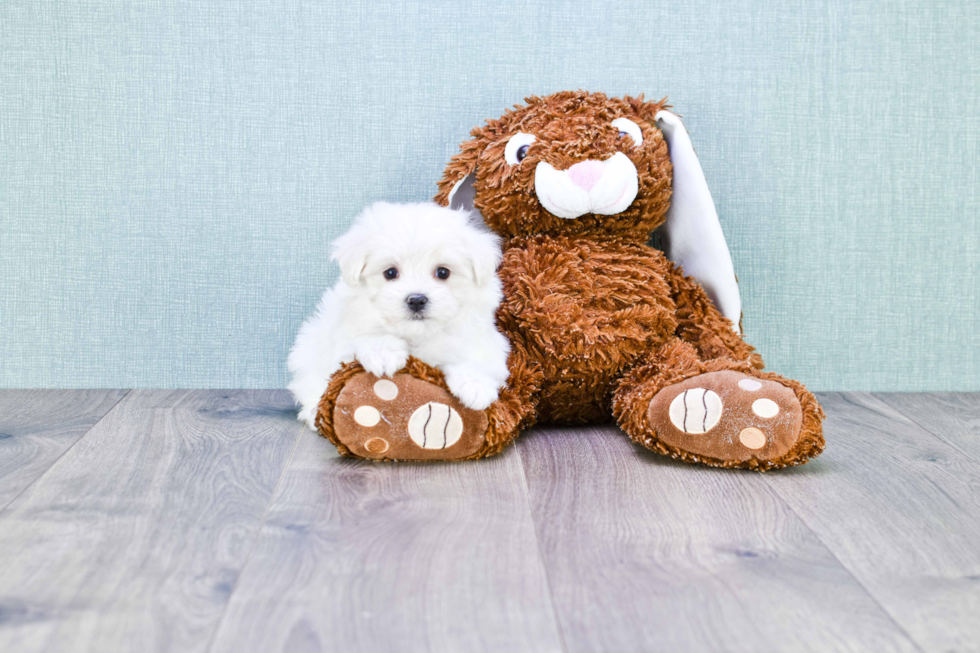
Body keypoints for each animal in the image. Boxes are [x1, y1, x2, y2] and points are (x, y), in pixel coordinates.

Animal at [288, 204, 510, 428]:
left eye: (443, 272)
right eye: (390, 273)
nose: (417, 300)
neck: (417, 334)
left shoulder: (481, 339)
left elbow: (477, 357)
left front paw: (475, 385)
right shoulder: (346, 334)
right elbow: (364, 336)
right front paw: (383, 353)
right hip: (307, 350)